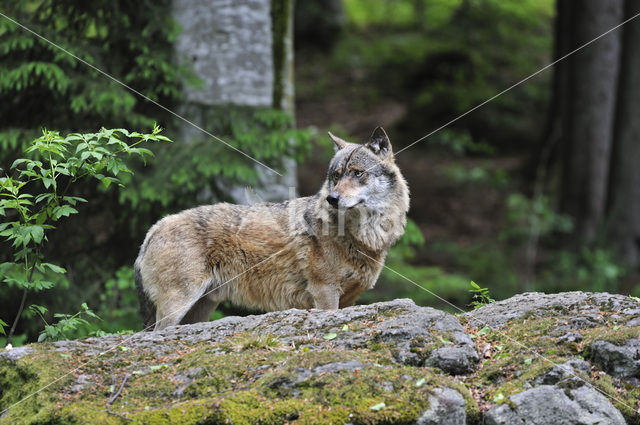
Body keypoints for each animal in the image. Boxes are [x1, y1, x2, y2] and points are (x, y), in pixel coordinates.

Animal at [136, 126, 410, 328]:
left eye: (357, 173)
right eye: (336, 175)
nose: (332, 198)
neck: (361, 236)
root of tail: (154, 228)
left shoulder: (349, 300)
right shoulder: (324, 292)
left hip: (198, 311)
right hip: (177, 306)